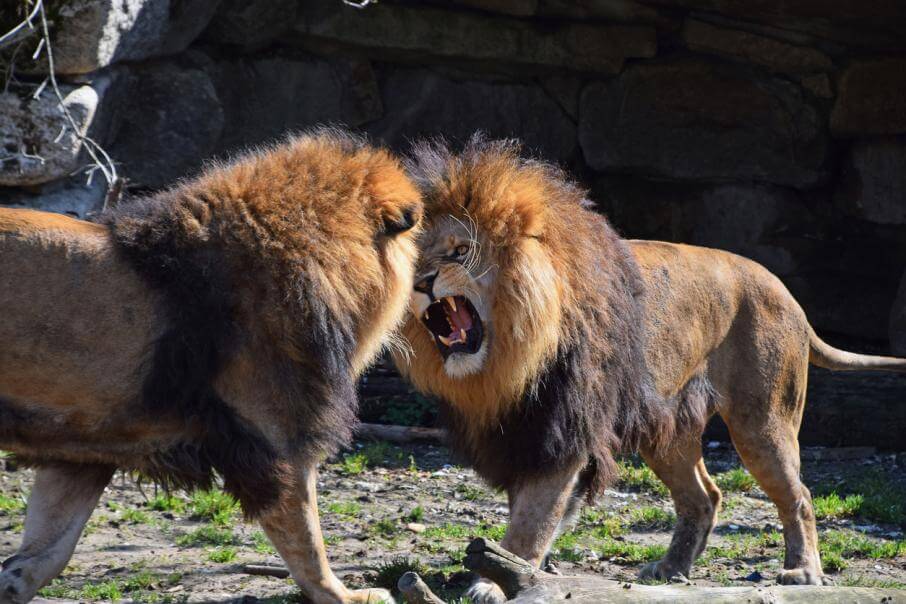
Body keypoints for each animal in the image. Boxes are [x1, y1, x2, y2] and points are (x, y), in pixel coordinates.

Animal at [0, 129, 422, 604]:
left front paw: (12, 583)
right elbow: (307, 541)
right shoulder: (273, 439)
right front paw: (346, 595)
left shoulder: (85, 443)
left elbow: (49, 545)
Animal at [394, 134, 904, 600]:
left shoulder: (563, 432)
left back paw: (803, 571)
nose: (421, 283)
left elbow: (532, 521)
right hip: (669, 429)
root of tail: (786, 293)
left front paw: (494, 580)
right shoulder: (524, 432)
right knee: (705, 496)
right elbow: (529, 513)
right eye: (415, 258)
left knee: (798, 496)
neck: (508, 360)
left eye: (460, 251)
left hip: (762, 421)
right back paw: (671, 569)